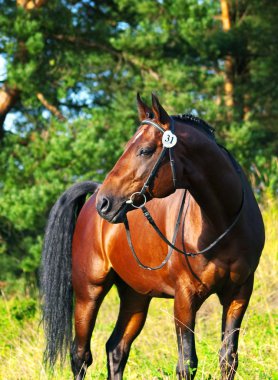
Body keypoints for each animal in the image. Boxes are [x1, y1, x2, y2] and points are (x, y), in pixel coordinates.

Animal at [41, 93, 264, 378]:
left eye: (145, 150)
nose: (106, 203)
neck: (222, 222)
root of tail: (92, 196)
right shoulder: (185, 298)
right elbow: (187, 363)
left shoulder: (239, 293)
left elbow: (228, 358)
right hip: (88, 292)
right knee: (80, 355)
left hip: (135, 296)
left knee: (116, 349)